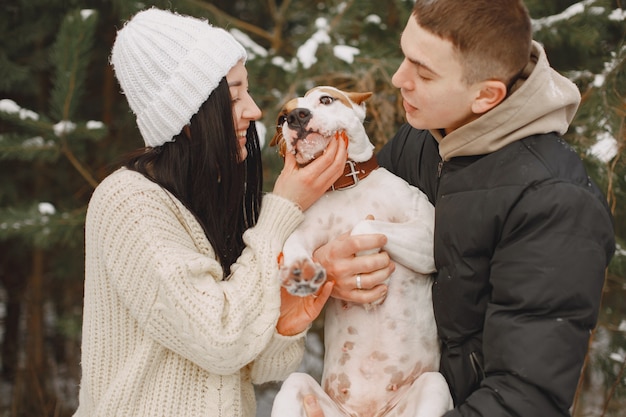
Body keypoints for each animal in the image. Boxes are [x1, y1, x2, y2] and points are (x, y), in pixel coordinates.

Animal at [266, 85, 448, 416]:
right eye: (282, 118)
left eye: (326, 99)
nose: (297, 117)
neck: (346, 185)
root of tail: (368, 412)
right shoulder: (308, 232)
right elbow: (294, 243)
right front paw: (301, 271)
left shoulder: (427, 236)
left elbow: (363, 226)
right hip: (295, 387)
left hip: (434, 385)